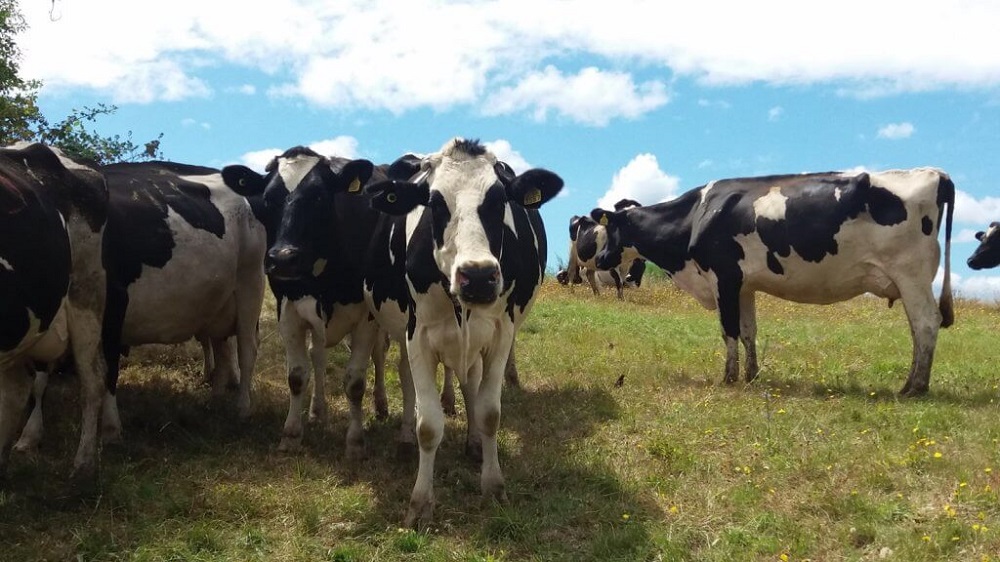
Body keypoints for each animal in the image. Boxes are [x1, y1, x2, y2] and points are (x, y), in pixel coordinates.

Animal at [356, 138, 564, 528]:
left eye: (499, 201)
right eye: (435, 203)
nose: (478, 276)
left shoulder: (499, 333)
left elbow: (489, 412)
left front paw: (493, 484)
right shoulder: (418, 336)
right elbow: (428, 424)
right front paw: (420, 503)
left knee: (469, 383)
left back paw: (474, 442)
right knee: (408, 379)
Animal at [588, 166, 956, 394]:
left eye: (611, 229)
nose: (600, 259)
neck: (696, 216)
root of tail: (935, 173)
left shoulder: (724, 277)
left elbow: (729, 330)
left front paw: (729, 377)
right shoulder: (744, 285)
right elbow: (749, 331)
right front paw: (752, 375)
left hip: (911, 274)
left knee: (926, 322)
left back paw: (915, 387)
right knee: (917, 328)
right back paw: (912, 381)